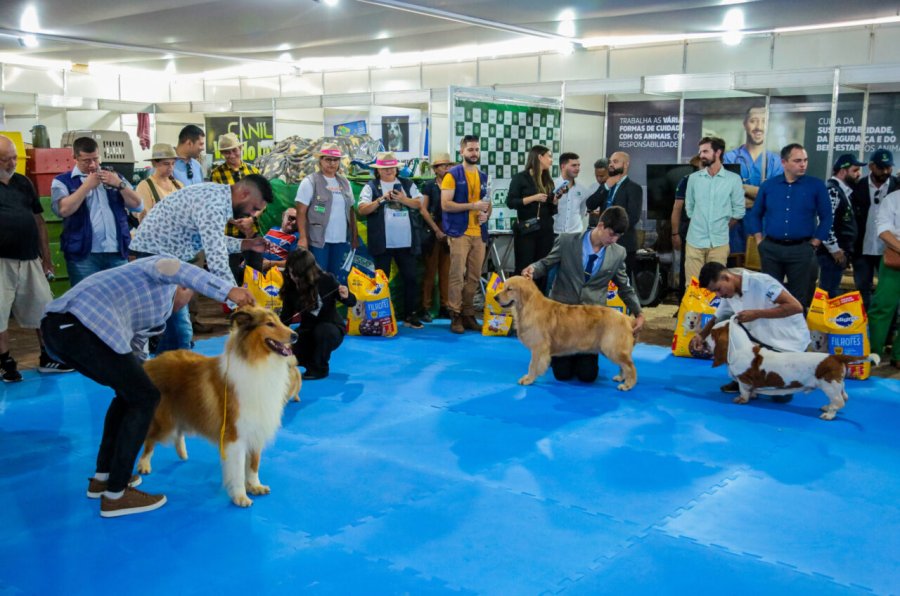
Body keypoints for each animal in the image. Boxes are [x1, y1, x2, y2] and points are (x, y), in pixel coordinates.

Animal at [136, 308, 298, 508]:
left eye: (280, 321)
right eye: (269, 324)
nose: (295, 336)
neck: (257, 362)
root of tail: (152, 361)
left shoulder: (256, 429)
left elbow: (253, 465)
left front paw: (255, 486)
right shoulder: (235, 435)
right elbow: (238, 470)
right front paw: (240, 497)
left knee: (178, 433)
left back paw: (182, 453)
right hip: (164, 420)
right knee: (150, 439)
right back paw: (144, 465)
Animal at [496, 276, 636, 392]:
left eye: (509, 289)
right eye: (503, 287)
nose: (495, 297)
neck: (528, 307)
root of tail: (626, 318)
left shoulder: (538, 347)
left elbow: (532, 365)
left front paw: (528, 379)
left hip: (612, 348)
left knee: (630, 366)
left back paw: (628, 385)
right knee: (624, 365)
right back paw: (621, 378)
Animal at [712, 316, 880, 420]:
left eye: (713, 332)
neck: (740, 348)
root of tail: (835, 356)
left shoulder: (744, 380)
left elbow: (744, 391)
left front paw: (741, 399)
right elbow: (751, 391)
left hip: (829, 385)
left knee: (839, 401)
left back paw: (828, 415)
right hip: (837, 383)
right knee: (844, 396)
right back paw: (827, 407)